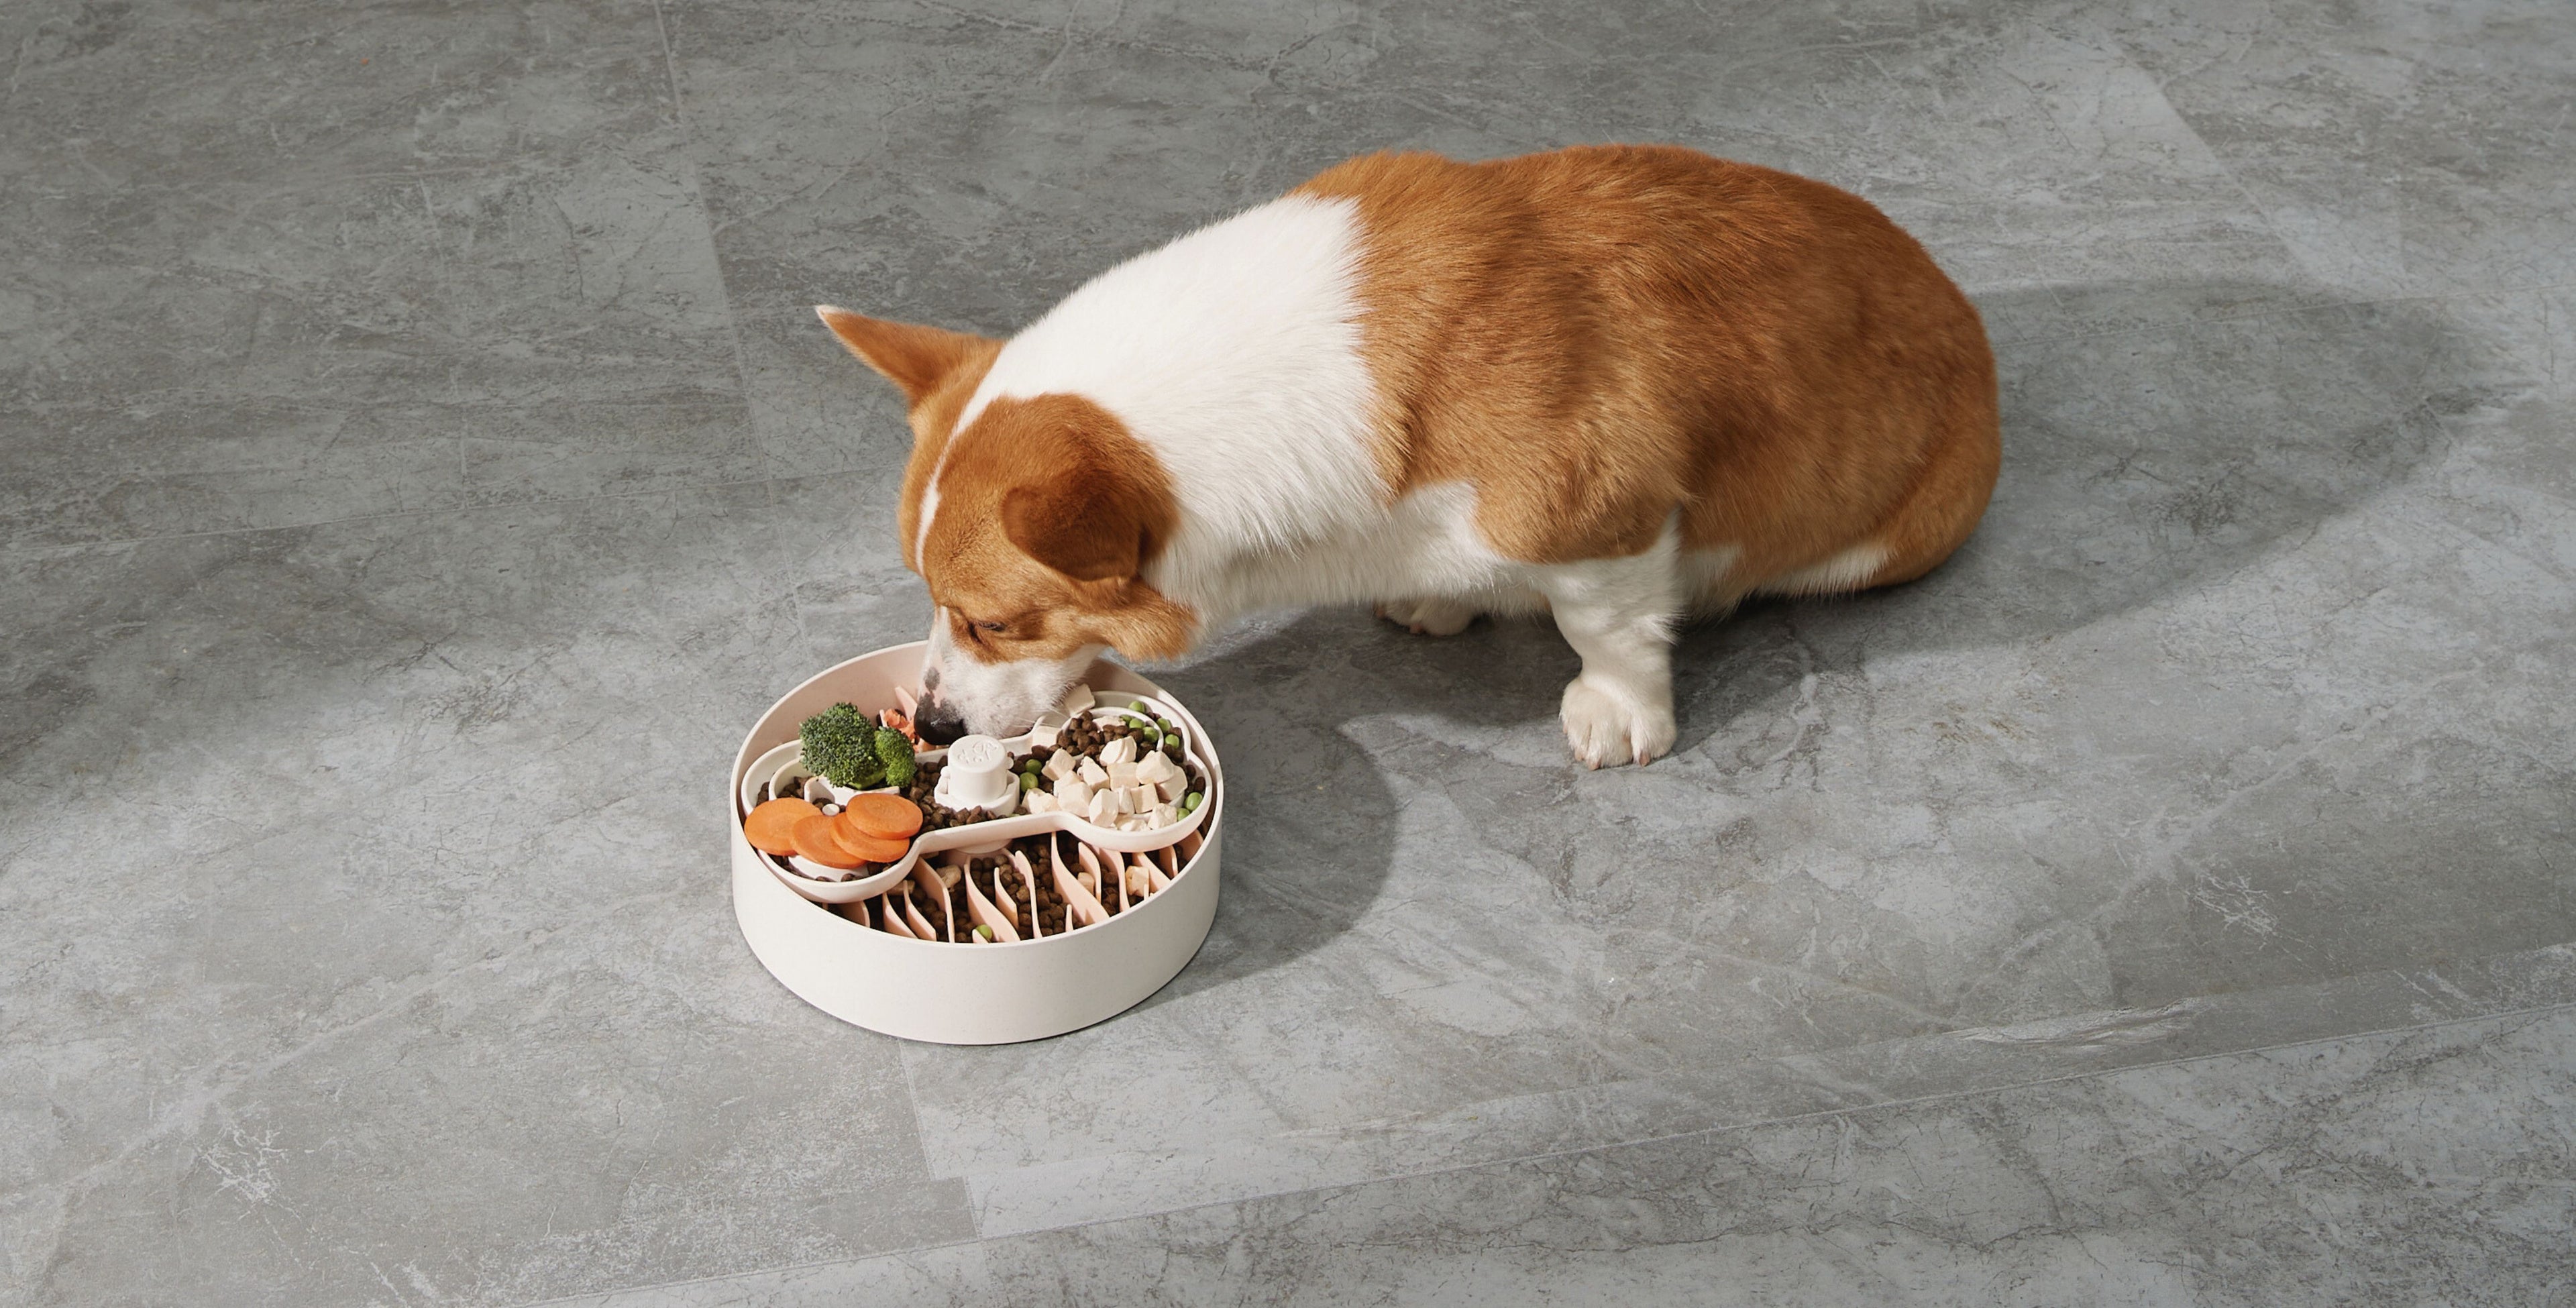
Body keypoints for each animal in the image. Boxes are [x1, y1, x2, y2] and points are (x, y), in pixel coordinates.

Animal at [814, 143, 1998, 767]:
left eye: (996, 622)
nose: (930, 725)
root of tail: (1970, 326)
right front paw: (1446, 594)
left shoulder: (1600, 520)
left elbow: (1606, 627)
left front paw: (1619, 714)